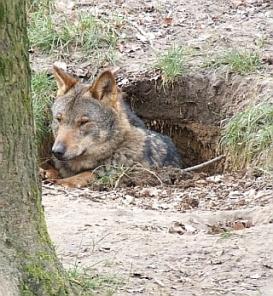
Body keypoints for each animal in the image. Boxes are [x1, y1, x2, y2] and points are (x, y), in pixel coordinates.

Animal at [44, 66, 181, 187]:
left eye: (83, 122)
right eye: (59, 119)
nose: (57, 151)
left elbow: (88, 174)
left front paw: (61, 181)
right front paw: (47, 172)